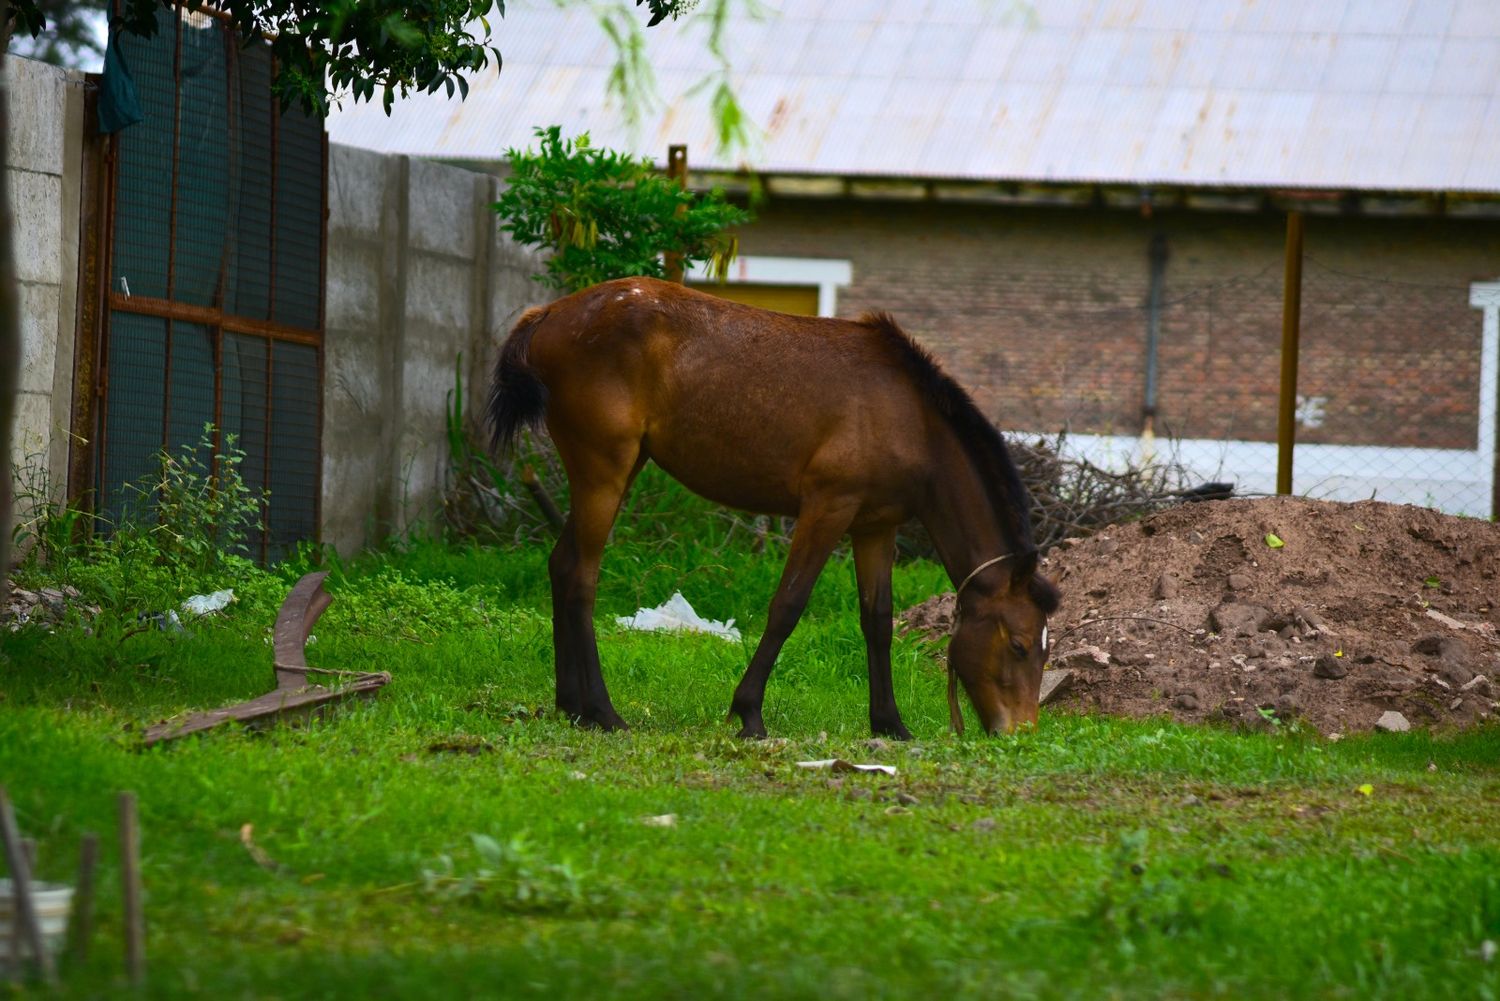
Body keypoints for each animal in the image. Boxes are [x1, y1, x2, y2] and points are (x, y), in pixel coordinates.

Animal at [489, 277, 1056, 741]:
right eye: (1020, 645)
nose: (1020, 732)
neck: (912, 419)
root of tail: (549, 313)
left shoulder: (875, 527)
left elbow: (878, 619)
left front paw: (890, 723)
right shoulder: (827, 508)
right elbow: (788, 605)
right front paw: (749, 713)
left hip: (620, 468)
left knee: (562, 565)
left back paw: (571, 706)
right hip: (604, 469)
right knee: (581, 577)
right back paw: (602, 712)